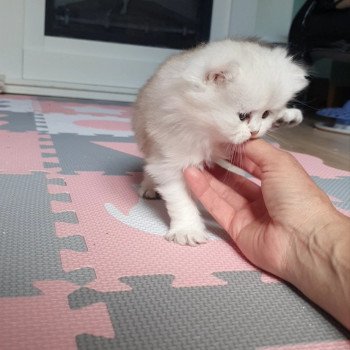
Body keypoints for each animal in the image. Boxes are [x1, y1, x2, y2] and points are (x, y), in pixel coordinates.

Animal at [133, 38, 308, 246]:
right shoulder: (171, 157)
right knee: (150, 167)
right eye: (242, 116)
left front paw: (285, 115)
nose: (255, 131)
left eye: (265, 114)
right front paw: (188, 230)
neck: (209, 131)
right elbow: (182, 200)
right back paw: (149, 187)